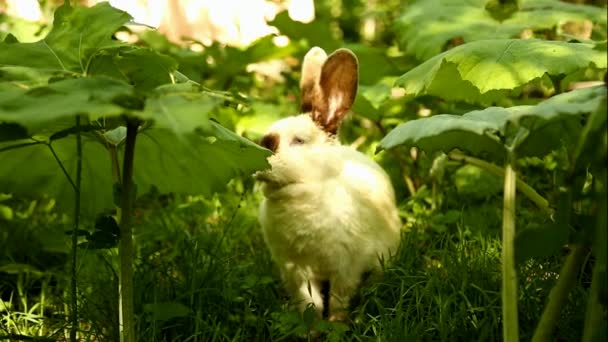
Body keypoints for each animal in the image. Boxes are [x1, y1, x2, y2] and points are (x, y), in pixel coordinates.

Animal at [254, 46, 402, 320]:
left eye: (299, 141)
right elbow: (309, 303)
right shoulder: (295, 269)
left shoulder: (347, 268)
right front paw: (311, 326)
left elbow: (338, 301)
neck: (304, 192)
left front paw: (335, 324)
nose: (261, 156)